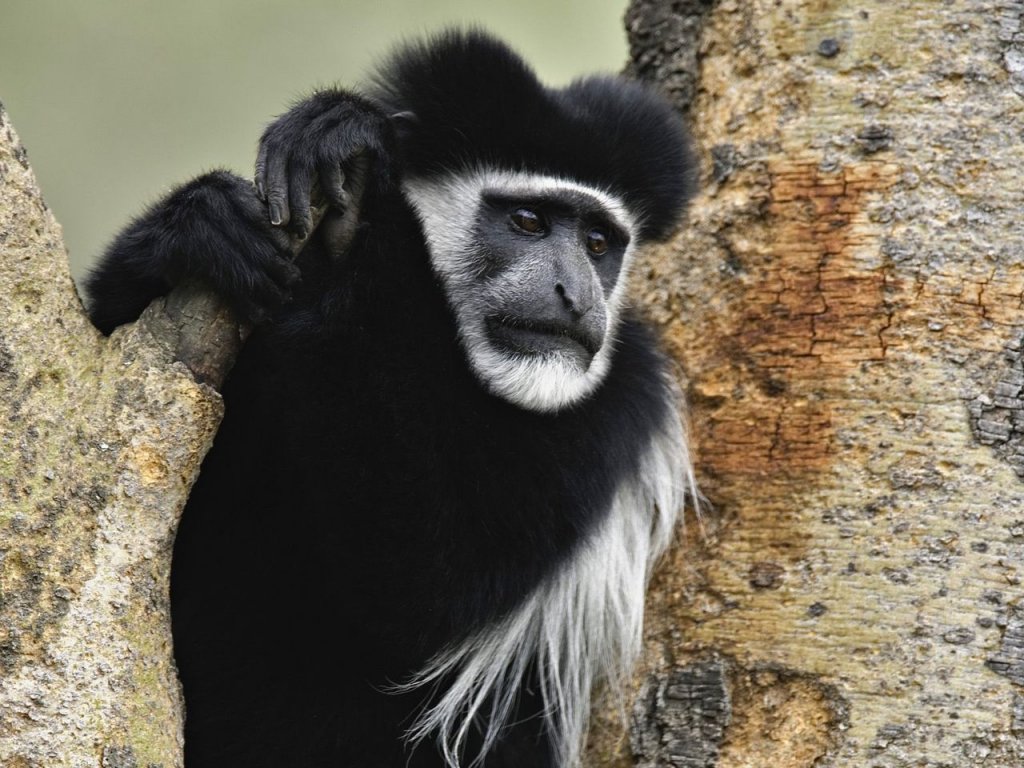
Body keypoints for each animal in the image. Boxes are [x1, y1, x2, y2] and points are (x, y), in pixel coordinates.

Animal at [86, 30, 696, 768]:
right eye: (527, 221)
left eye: (599, 243)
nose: (573, 297)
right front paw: (201, 222)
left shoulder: (621, 405)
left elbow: (429, 592)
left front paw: (358, 197)